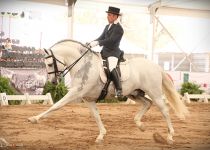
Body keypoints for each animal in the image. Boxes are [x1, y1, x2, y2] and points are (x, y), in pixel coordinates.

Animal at [27, 39, 189, 144]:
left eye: (49, 64)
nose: (53, 82)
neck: (83, 65)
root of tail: (156, 66)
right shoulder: (89, 99)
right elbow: (96, 116)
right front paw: (101, 136)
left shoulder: (75, 93)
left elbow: (56, 106)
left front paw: (34, 118)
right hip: (134, 93)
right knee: (147, 104)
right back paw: (140, 125)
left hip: (154, 92)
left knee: (164, 110)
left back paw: (169, 137)